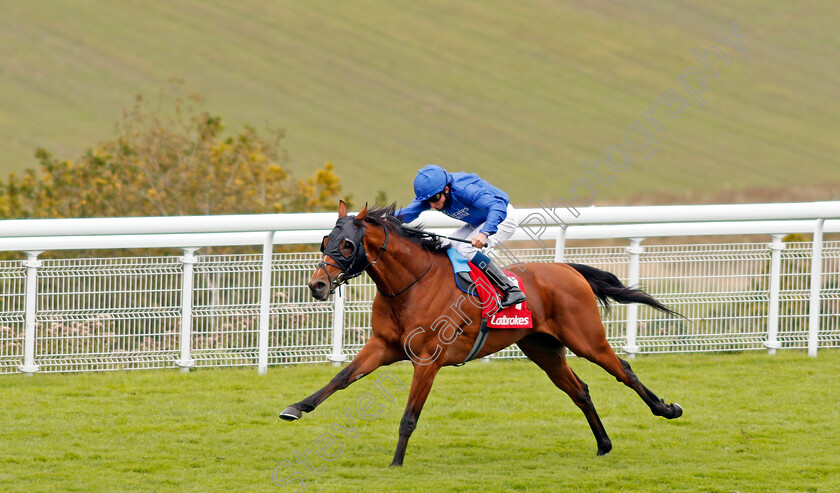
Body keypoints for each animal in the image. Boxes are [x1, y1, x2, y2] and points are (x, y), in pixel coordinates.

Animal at [282, 200, 684, 466]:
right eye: (324, 241)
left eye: (348, 244)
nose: (317, 285)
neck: (410, 285)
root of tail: (569, 270)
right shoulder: (383, 346)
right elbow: (340, 379)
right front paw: (295, 408)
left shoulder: (427, 360)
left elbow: (409, 415)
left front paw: (396, 463)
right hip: (543, 349)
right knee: (580, 390)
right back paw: (603, 444)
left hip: (587, 339)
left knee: (624, 372)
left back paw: (667, 409)